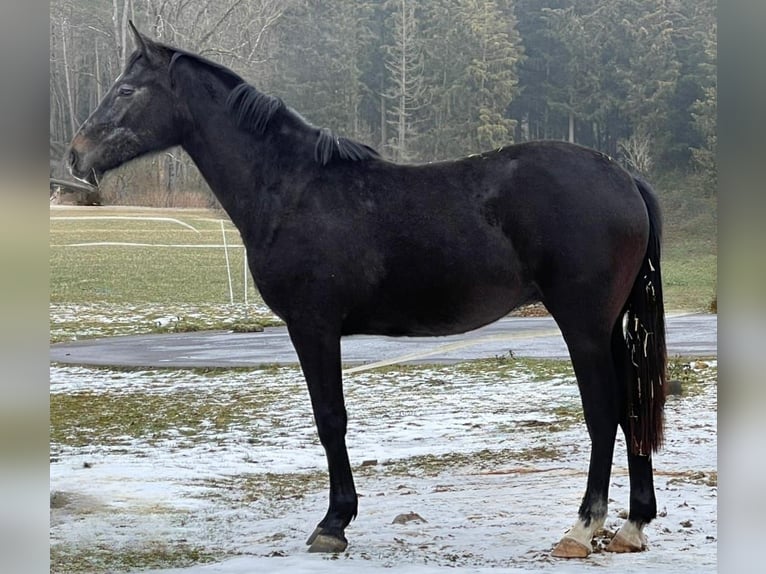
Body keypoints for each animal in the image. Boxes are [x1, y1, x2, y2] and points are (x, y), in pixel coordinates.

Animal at [70, 24, 664, 560]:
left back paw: (582, 529)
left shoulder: (312, 326)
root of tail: (624, 178)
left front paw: (333, 524)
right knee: (630, 407)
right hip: (609, 327)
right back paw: (632, 526)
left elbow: (330, 418)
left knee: (603, 410)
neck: (292, 187)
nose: (77, 155)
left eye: (127, 91)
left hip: (583, 325)